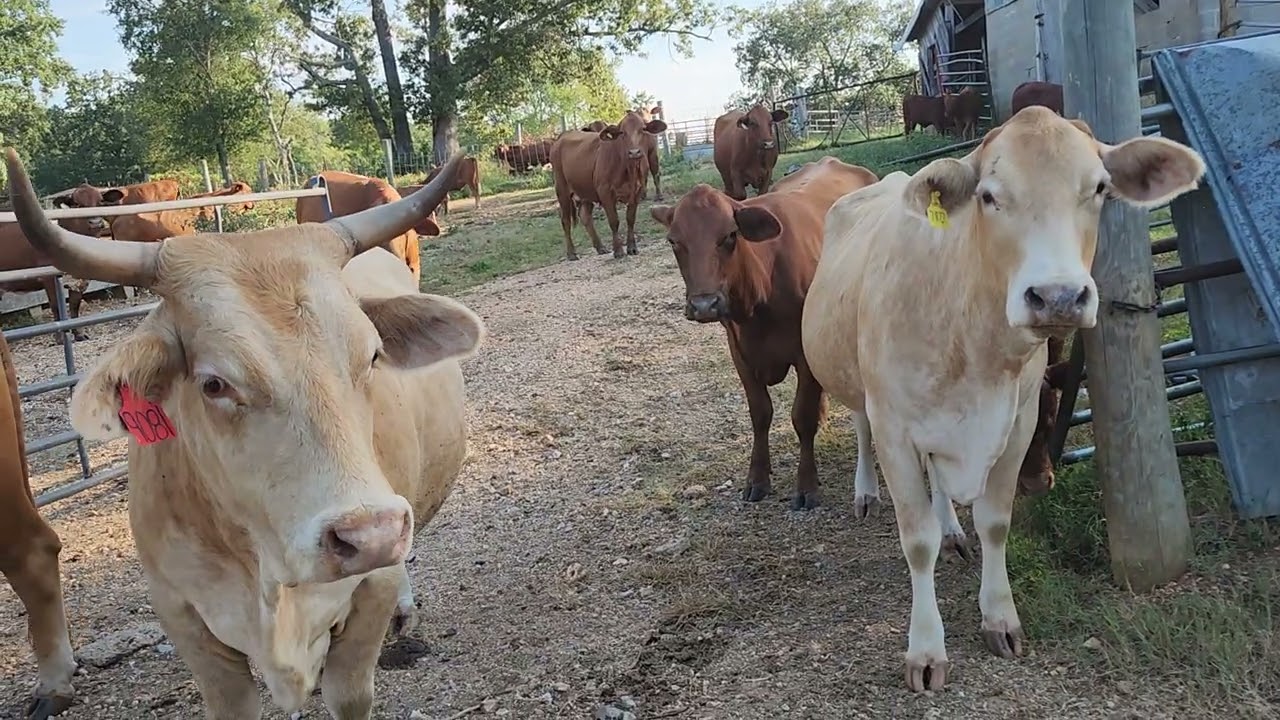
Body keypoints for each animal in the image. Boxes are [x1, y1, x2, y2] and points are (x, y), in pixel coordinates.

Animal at [551, 110, 667, 260]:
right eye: (622, 132)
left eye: (643, 129)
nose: (634, 152)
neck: (628, 171)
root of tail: (563, 136)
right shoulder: (605, 192)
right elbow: (614, 221)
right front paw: (618, 250)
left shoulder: (637, 192)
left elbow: (630, 219)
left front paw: (632, 248)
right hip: (562, 190)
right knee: (565, 220)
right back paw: (571, 253)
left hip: (585, 192)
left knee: (585, 216)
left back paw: (600, 247)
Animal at [649, 156, 878, 509]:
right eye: (674, 241)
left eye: (730, 235)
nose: (704, 305)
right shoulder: (739, 351)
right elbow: (760, 413)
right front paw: (757, 478)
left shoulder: (803, 352)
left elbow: (801, 416)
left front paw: (806, 484)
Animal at [800, 106, 1205, 692]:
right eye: (989, 196)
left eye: (1099, 188)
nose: (1058, 296)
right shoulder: (895, 426)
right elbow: (915, 540)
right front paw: (926, 649)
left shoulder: (1019, 422)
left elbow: (994, 522)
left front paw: (999, 616)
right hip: (851, 381)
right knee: (859, 429)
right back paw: (866, 493)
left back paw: (951, 529)